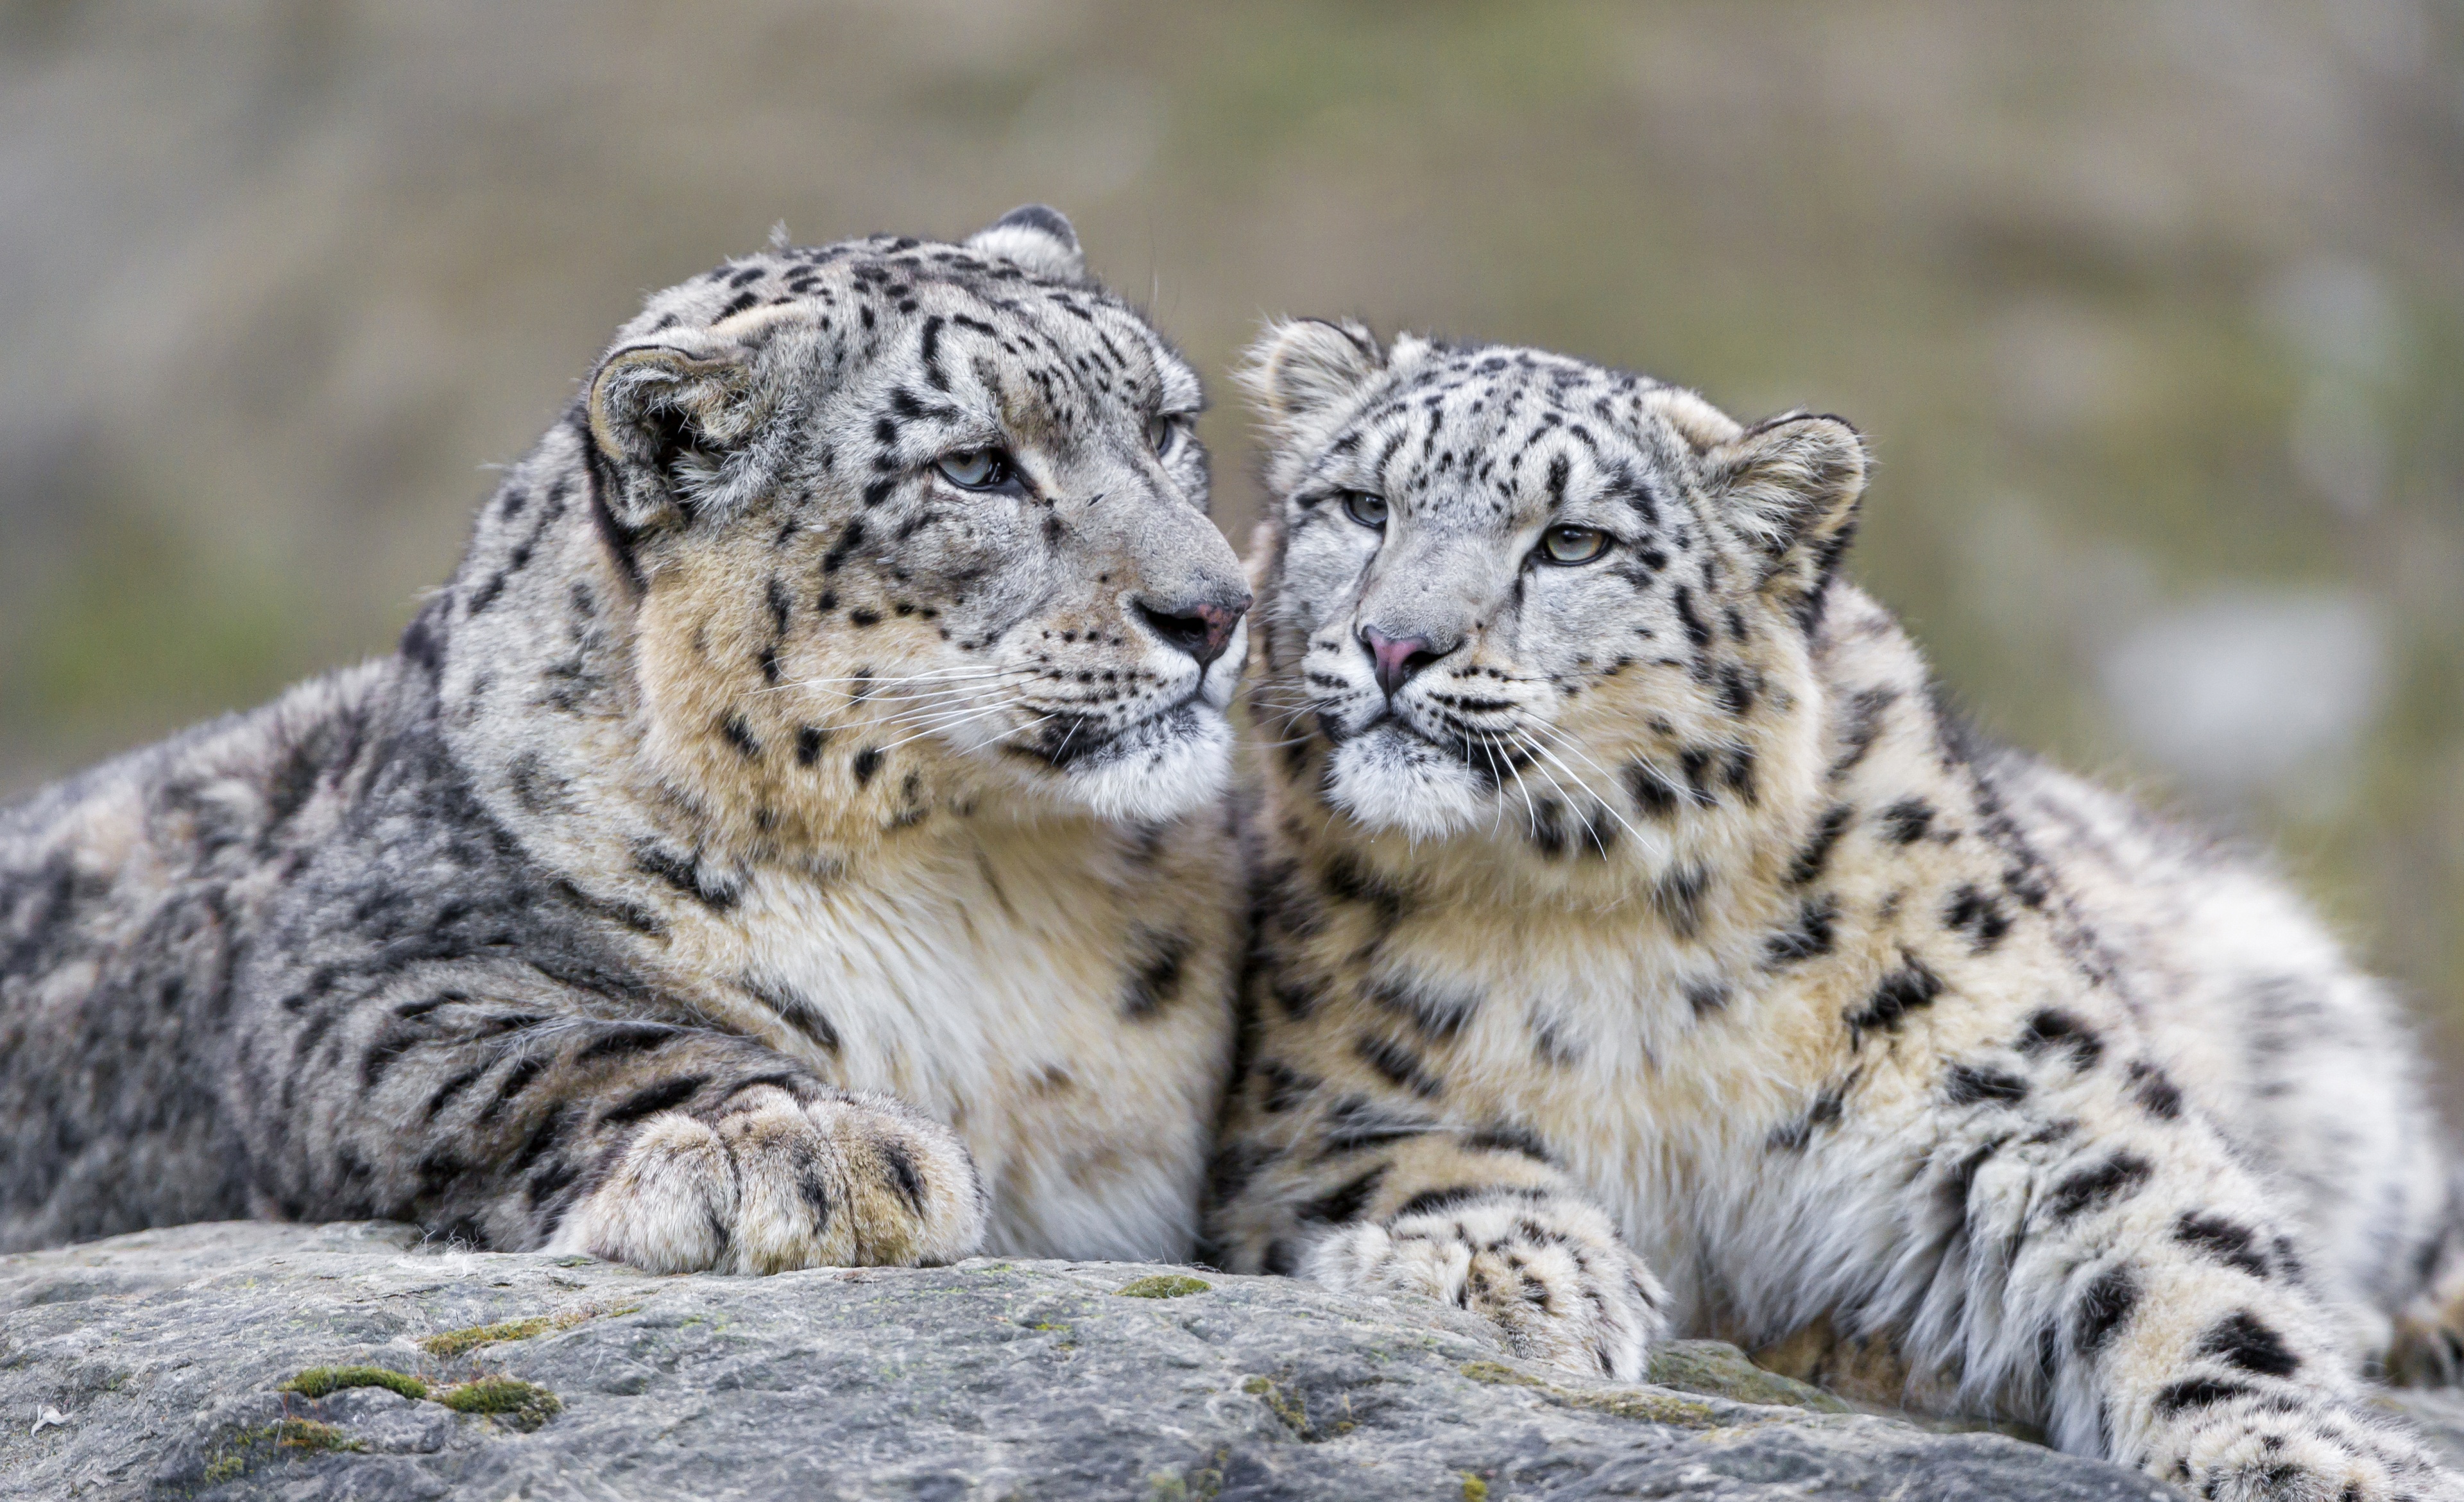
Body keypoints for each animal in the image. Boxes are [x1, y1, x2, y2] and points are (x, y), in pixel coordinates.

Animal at [4, 204, 1251, 1272]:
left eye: (1166, 427)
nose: (1217, 608)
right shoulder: (358, 977)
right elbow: (588, 1046)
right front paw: (804, 1145)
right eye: (977, 465)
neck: (980, 887)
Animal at [1207, 318, 2464, 1499]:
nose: (1395, 643)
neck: (1610, 934)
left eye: (1572, 541)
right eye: (1363, 506)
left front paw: (2302, 1455)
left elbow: (2184, 1257)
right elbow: (1434, 1159)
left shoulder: (2032, 1085)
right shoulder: (1314, 1107)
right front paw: (1506, 1277)